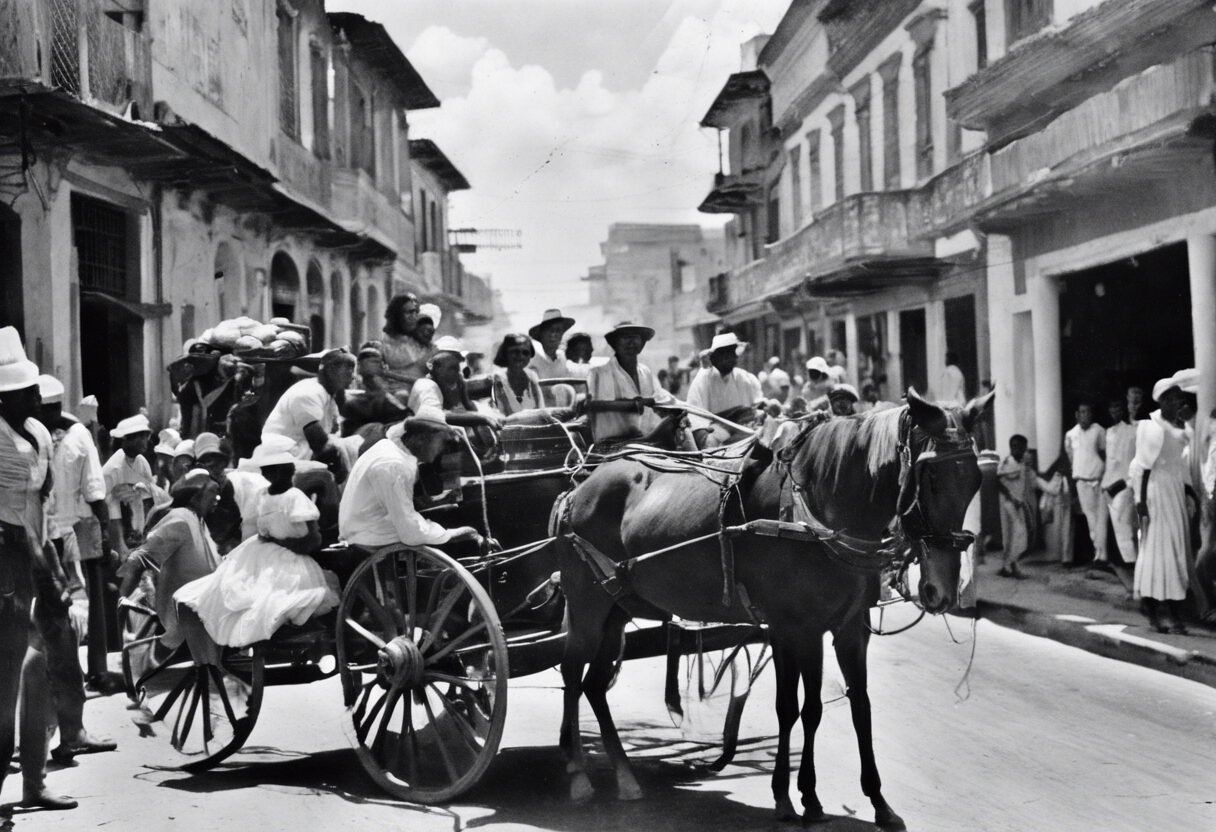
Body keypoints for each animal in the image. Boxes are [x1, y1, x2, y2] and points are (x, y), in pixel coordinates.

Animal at [556, 389, 992, 827]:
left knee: (593, 684)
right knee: (573, 673)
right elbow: (803, 708)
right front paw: (804, 798)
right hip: (586, 603)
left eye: (976, 479)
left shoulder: (848, 628)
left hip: (617, 607)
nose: (942, 590)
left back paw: (625, 776)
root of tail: (581, 486)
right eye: (929, 476)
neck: (819, 512)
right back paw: (577, 775)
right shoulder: (800, 629)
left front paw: (877, 803)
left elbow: (857, 705)